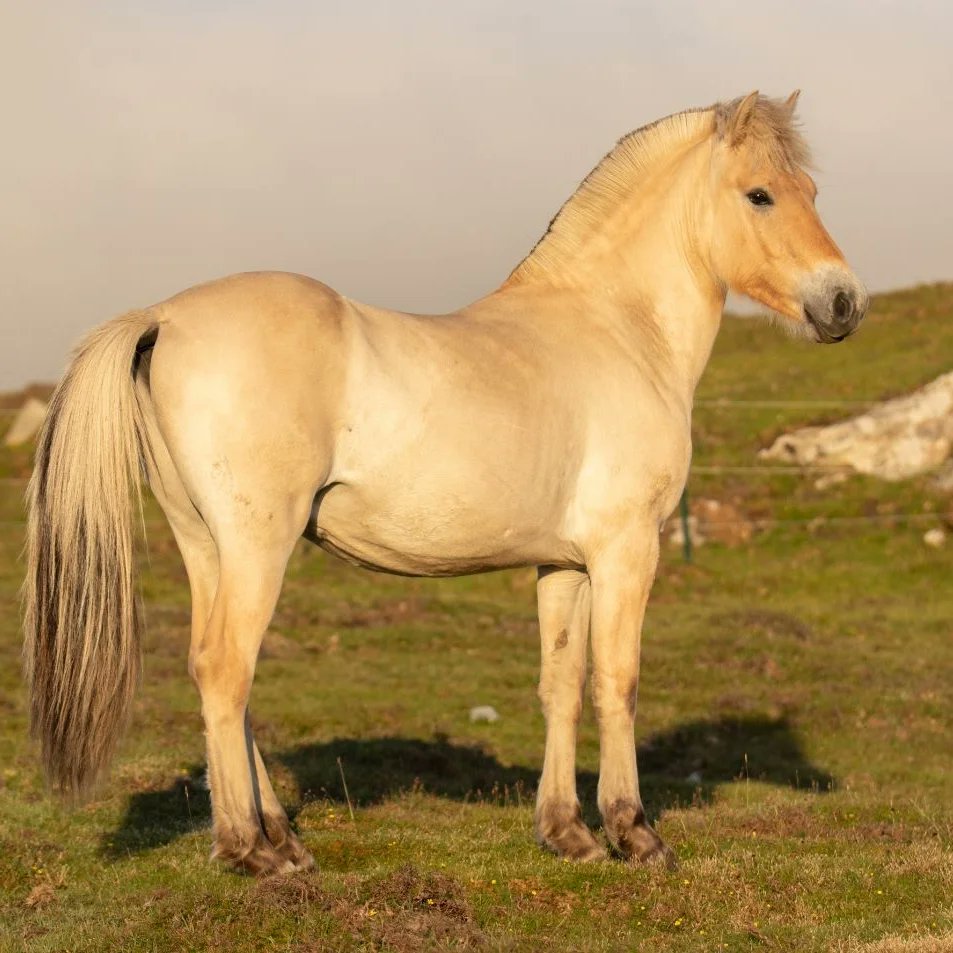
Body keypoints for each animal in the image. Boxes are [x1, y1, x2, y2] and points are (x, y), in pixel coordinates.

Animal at [23, 91, 867, 876]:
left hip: (206, 545)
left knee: (220, 673)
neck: (618, 329)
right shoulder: (626, 551)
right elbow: (617, 680)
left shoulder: (563, 564)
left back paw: (281, 838)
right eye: (759, 194)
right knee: (227, 669)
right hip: (256, 544)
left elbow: (560, 683)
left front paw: (566, 832)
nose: (842, 303)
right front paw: (634, 832)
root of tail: (162, 317)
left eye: (811, 190)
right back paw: (249, 849)